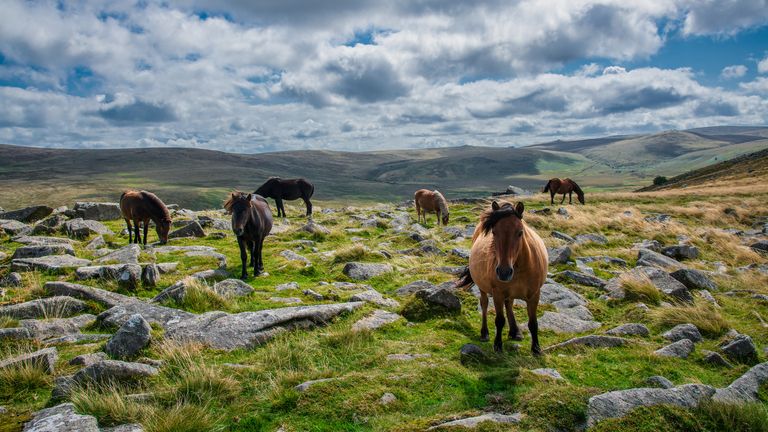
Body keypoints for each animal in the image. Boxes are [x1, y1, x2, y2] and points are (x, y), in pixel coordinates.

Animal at [457, 201, 548, 355]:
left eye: (520, 232)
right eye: (494, 232)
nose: (504, 272)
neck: (520, 268)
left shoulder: (534, 294)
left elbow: (533, 322)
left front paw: (536, 348)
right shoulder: (498, 293)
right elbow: (499, 320)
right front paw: (498, 345)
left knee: (509, 304)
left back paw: (515, 331)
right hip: (483, 288)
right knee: (484, 304)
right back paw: (485, 333)